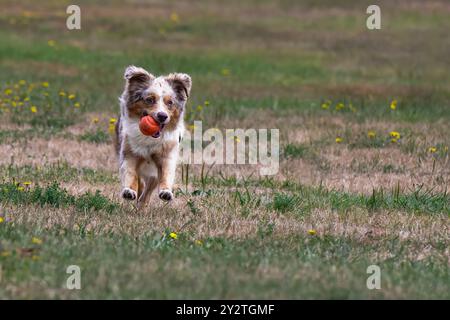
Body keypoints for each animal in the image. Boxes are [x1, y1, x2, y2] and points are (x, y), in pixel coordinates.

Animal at [114, 65, 192, 208]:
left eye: (170, 102)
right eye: (149, 99)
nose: (162, 116)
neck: (150, 138)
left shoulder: (166, 156)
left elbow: (166, 174)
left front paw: (166, 192)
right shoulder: (129, 153)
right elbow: (130, 173)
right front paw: (129, 191)